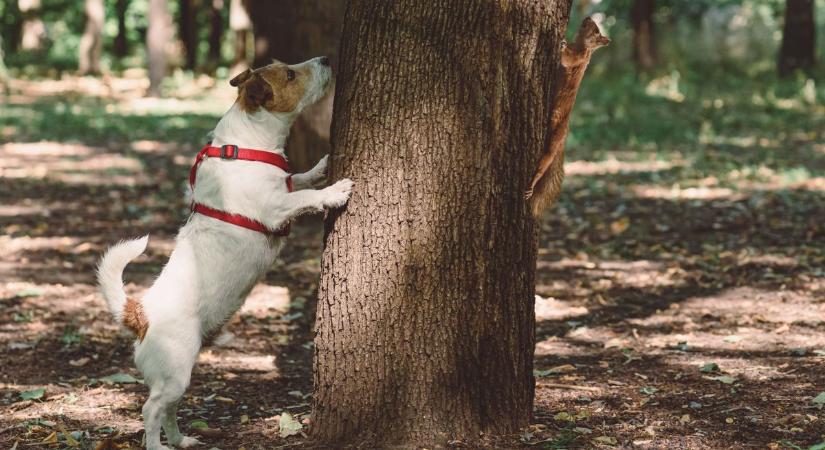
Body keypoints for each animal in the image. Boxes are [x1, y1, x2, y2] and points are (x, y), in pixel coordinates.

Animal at [97, 56, 350, 450]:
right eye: (290, 73)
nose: (325, 59)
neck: (244, 148)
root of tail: (140, 313)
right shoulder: (276, 208)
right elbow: (306, 196)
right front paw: (335, 190)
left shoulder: (284, 187)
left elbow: (299, 179)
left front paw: (321, 168)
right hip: (175, 371)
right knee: (151, 410)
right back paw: (156, 444)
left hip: (181, 375)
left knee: (169, 410)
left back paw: (181, 439)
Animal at [524, 18, 608, 219]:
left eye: (596, 31)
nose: (587, 18)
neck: (579, 44)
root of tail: (565, 134)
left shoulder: (579, 57)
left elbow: (568, 59)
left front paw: (561, 46)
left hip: (553, 141)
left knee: (545, 161)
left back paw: (531, 185)